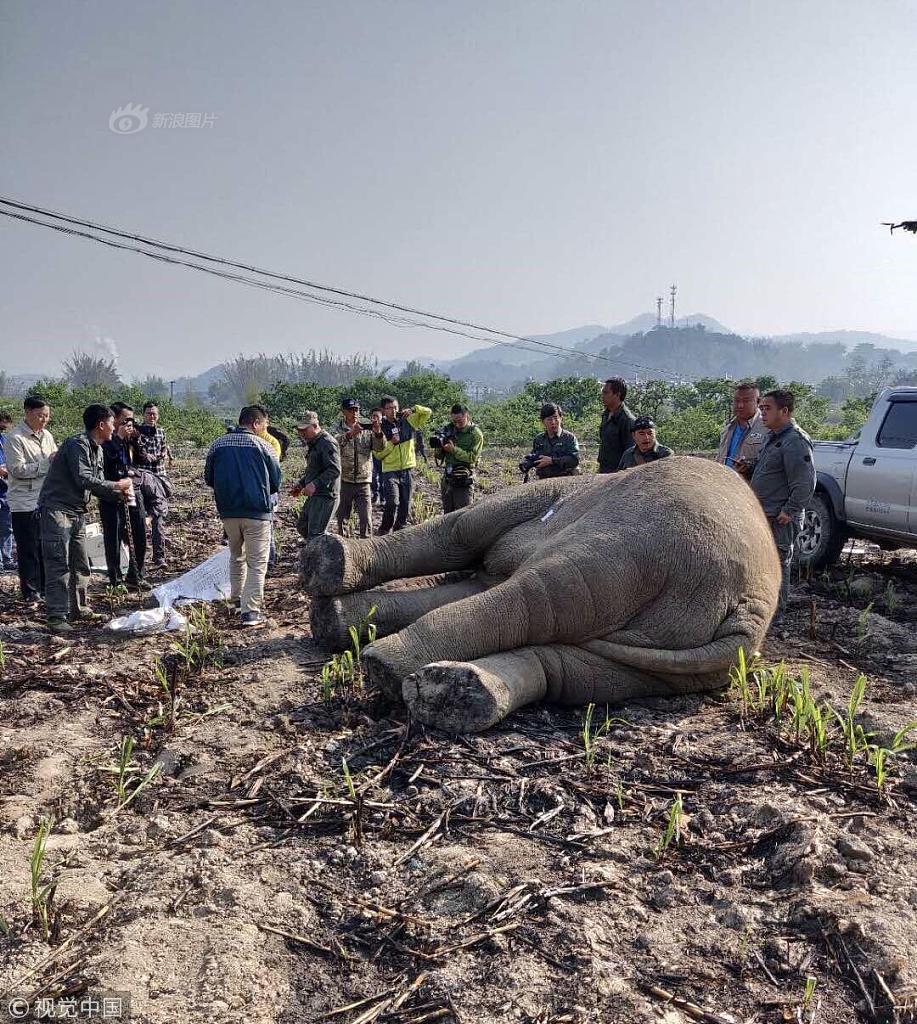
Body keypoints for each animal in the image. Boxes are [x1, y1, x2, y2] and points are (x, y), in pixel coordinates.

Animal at [300, 460, 781, 733]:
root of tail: (746, 607)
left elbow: (460, 532)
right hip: (671, 661)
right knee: (573, 670)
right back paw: (451, 692)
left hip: (630, 550)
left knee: (529, 591)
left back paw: (384, 667)